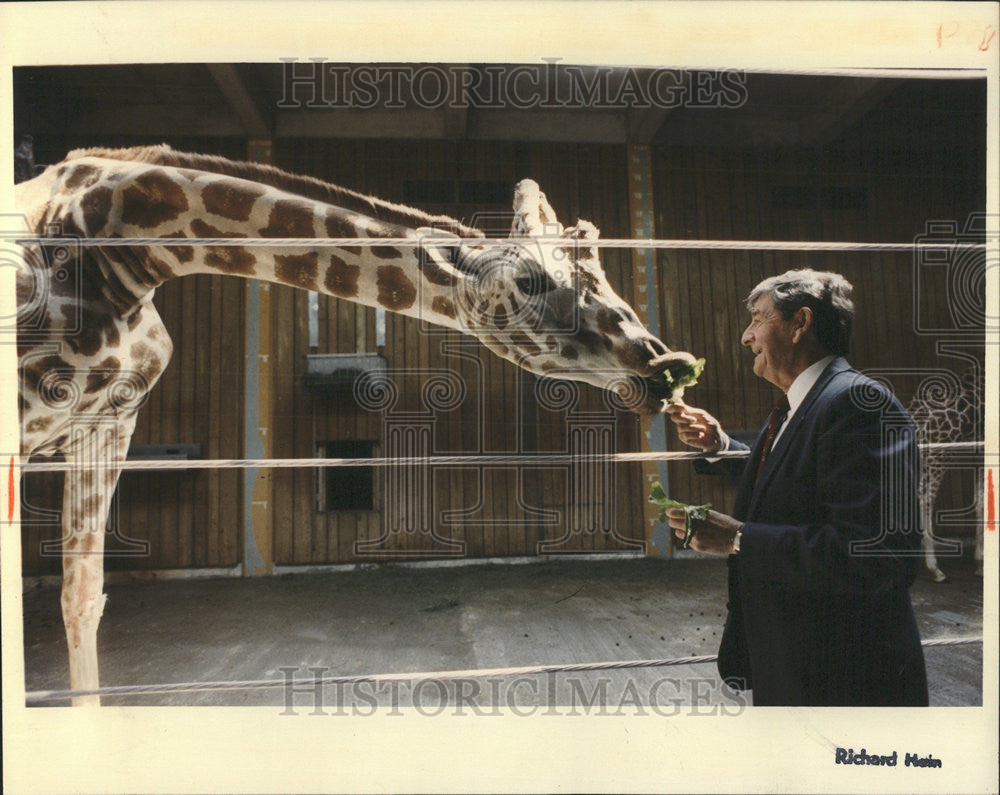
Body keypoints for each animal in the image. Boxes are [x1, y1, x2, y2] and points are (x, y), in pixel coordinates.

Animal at [13, 143, 696, 704]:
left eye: (600, 269)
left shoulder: (109, 422)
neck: (124, 247)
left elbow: (82, 600)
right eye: (527, 281)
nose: (662, 364)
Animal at [908, 366, 984, 584]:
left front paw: (978, 563)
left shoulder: (977, 447)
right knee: (925, 500)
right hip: (937, 456)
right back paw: (935, 569)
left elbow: (979, 500)